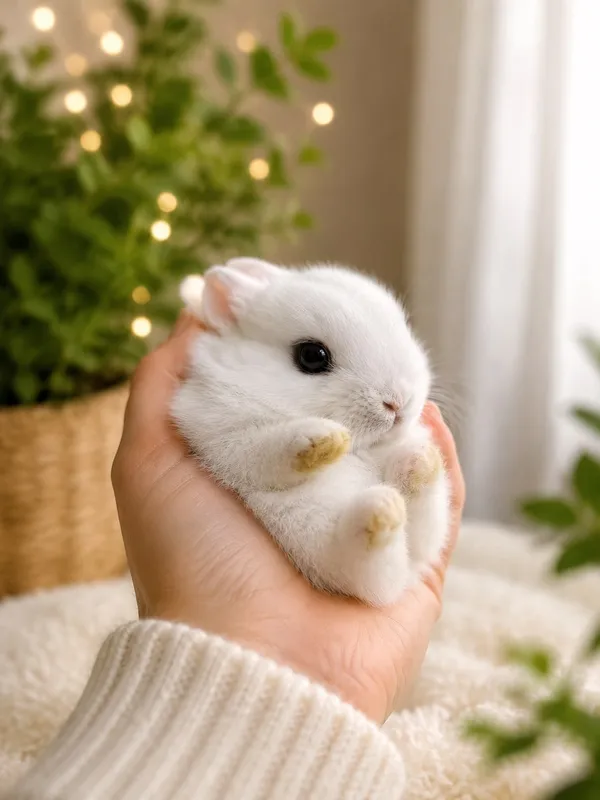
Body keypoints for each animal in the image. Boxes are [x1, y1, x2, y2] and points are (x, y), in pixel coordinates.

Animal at [171, 258, 450, 607]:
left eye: (402, 325)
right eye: (312, 356)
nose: (398, 403)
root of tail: (403, 581)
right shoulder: (225, 436)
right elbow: (276, 448)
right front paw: (326, 440)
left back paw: (417, 464)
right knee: (369, 566)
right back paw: (382, 508)